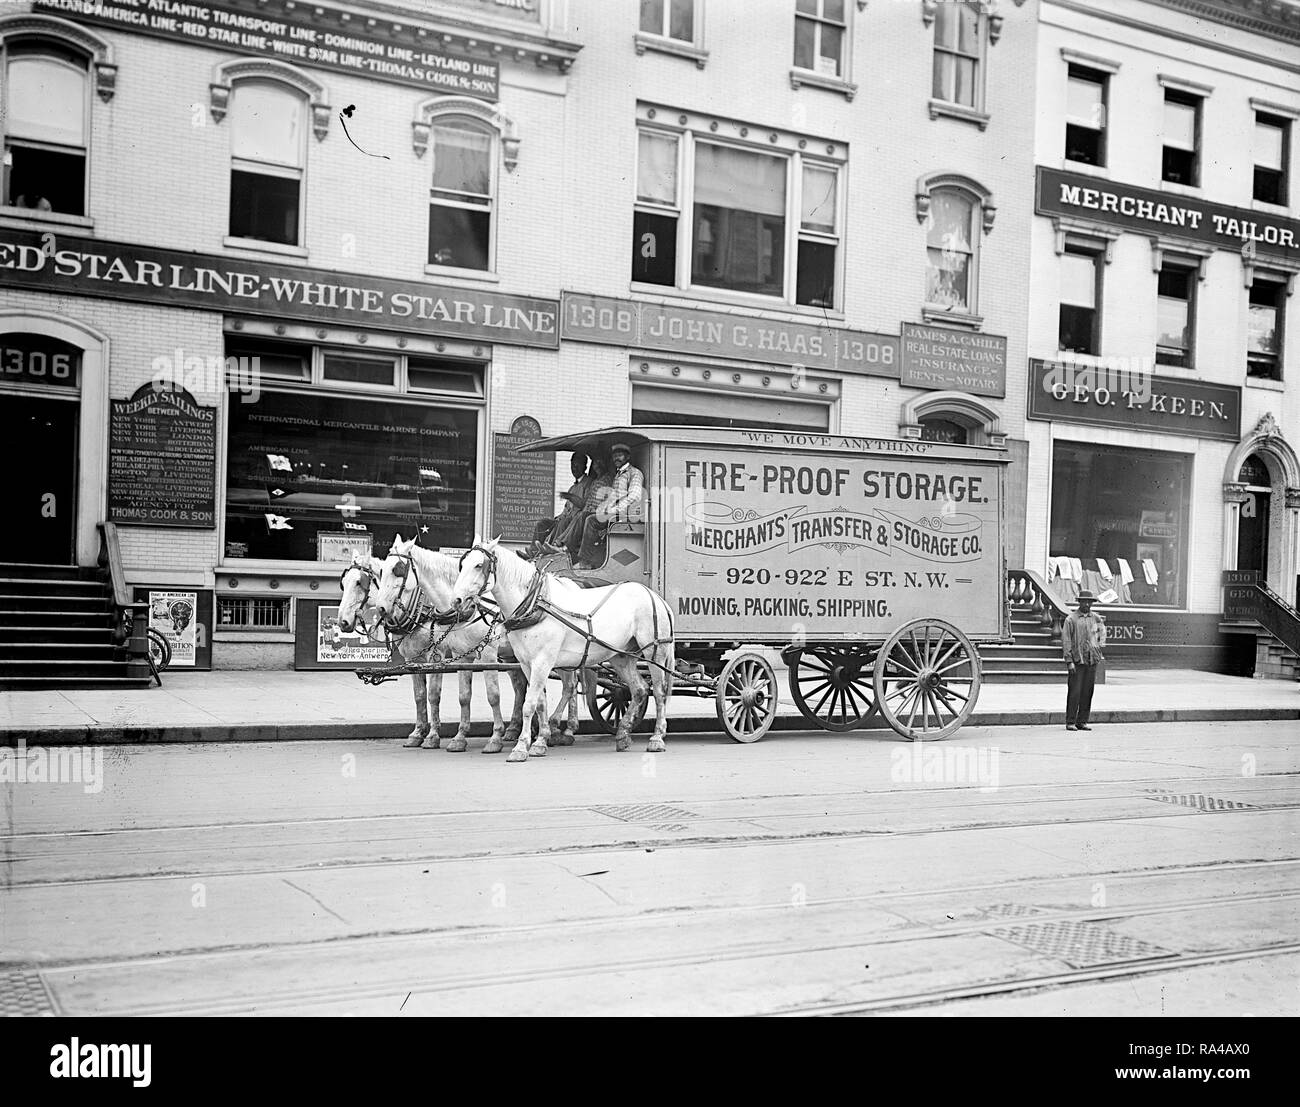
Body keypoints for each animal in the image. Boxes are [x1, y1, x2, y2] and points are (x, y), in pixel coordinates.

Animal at [374, 537, 582, 753]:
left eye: (398, 569)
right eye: (381, 571)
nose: (381, 608)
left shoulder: (469, 655)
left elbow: (488, 695)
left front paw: (493, 737)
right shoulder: (451, 656)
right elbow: (447, 696)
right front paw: (452, 736)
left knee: (570, 684)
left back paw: (563, 728)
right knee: (525, 687)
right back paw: (522, 729)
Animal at [449, 535, 676, 758]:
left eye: (479, 565)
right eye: (462, 565)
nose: (456, 600)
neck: (536, 604)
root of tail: (655, 596)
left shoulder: (541, 661)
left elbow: (529, 704)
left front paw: (521, 746)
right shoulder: (526, 663)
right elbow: (539, 702)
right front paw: (540, 741)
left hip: (655, 653)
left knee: (659, 692)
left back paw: (657, 737)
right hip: (621, 656)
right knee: (639, 689)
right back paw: (623, 733)